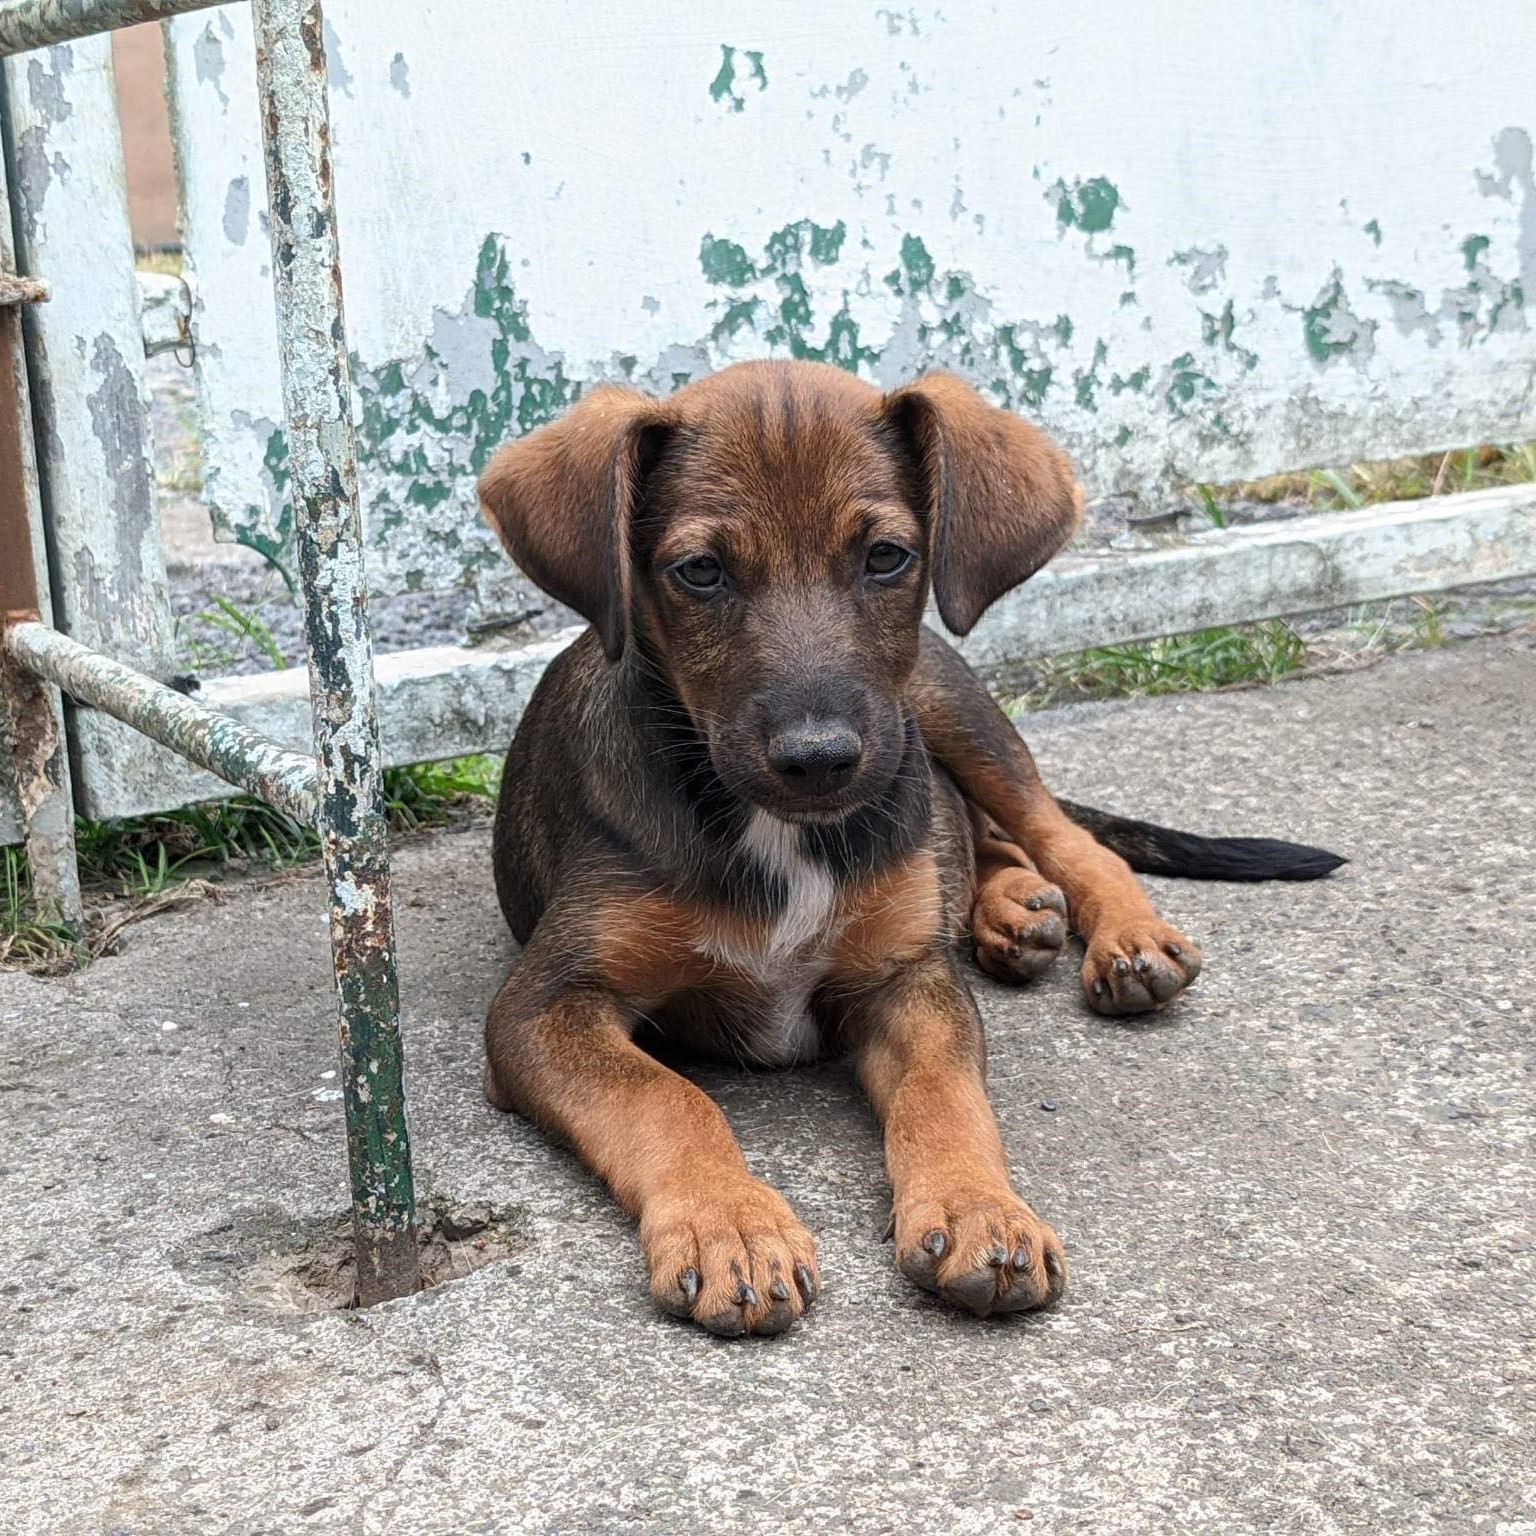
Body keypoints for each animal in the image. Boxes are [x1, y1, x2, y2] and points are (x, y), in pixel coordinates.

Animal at [473, 359, 1339, 1333]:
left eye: (886, 556)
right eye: (700, 572)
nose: (819, 760)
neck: (779, 834)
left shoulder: (906, 981)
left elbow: (945, 1095)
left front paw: (980, 1209)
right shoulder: (545, 1006)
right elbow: (665, 1095)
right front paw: (731, 1225)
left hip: (945, 707)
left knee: (1058, 835)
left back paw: (1120, 936)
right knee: (982, 842)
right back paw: (1012, 913)